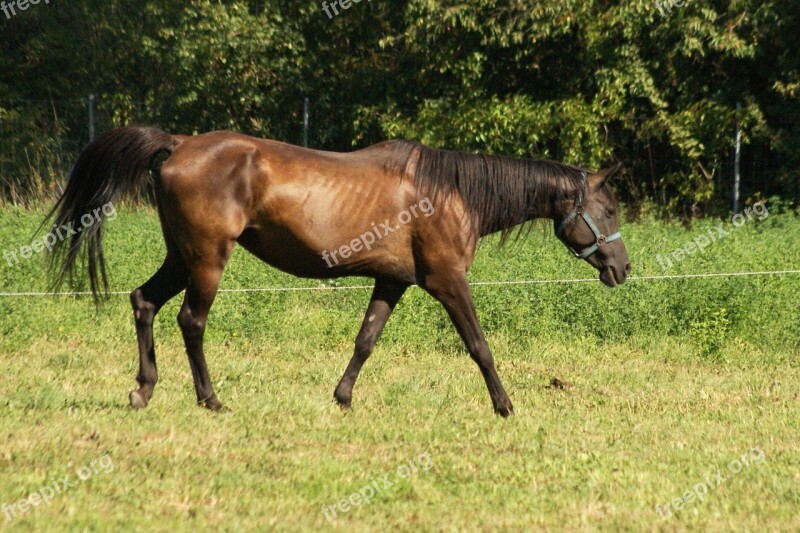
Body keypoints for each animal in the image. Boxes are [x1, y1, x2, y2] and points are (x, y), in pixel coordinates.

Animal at [45, 125, 632, 416]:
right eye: (608, 209)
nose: (623, 268)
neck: (451, 193)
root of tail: (180, 144)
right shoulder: (447, 283)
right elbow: (479, 345)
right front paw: (505, 406)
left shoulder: (392, 281)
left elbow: (365, 341)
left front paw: (343, 398)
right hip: (207, 259)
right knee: (191, 322)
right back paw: (211, 400)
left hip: (181, 256)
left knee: (143, 301)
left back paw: (143, 390)